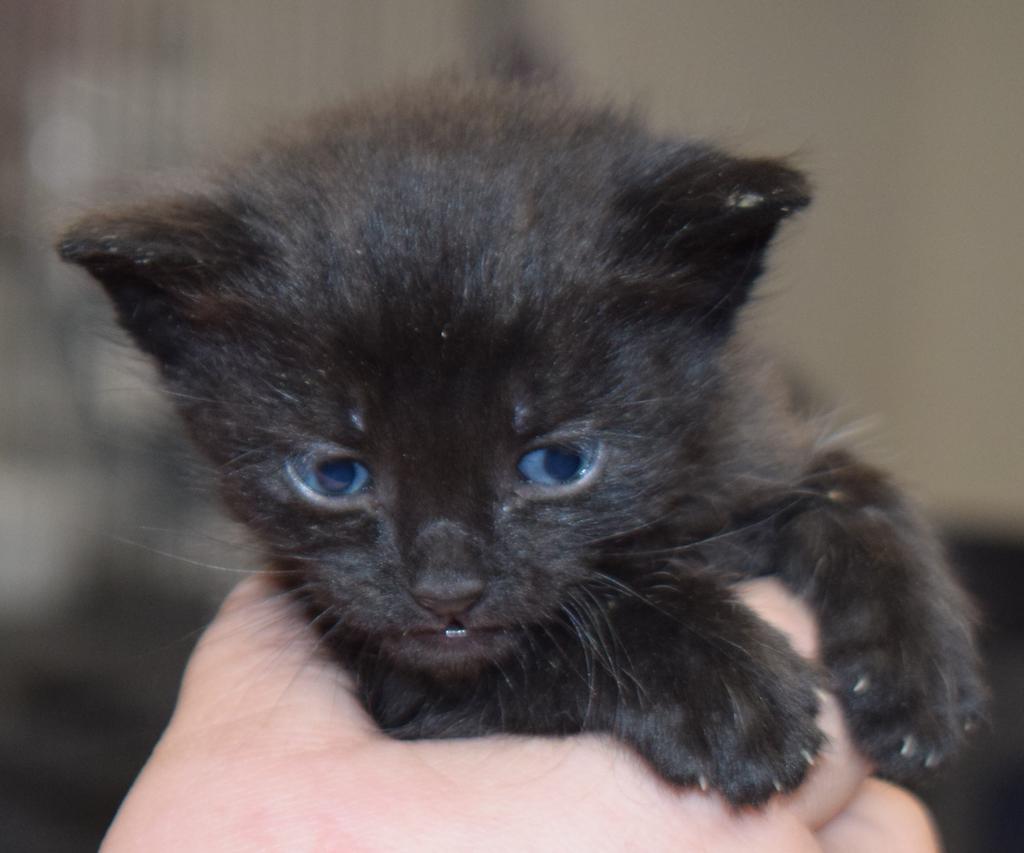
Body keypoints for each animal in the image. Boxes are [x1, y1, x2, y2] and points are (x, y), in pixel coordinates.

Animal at [58, 76, 983, 802]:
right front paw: (726, 681)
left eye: (557, 462)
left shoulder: (744, 449)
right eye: (334, 474)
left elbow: (853, 487)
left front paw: (917, 666)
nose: (447, 590)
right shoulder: (404, 684)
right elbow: (580, 621)